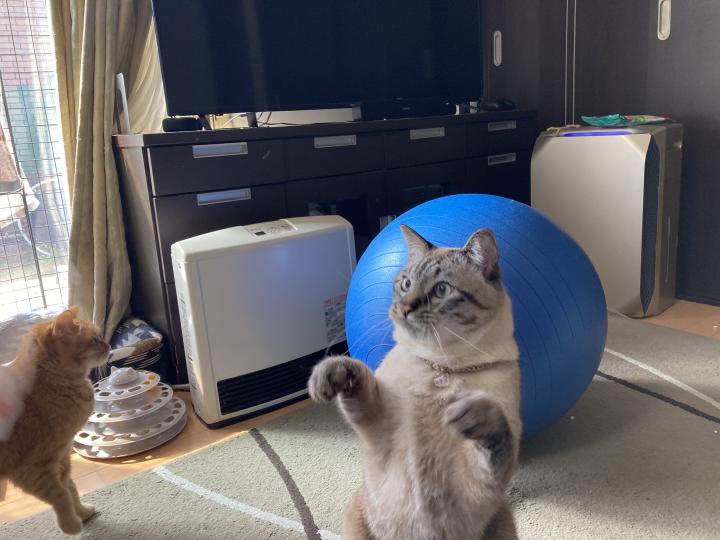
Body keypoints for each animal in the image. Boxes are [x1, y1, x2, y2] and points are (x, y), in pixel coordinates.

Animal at [0, 306, 110, 534]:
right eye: (95, 339)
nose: (109, 345)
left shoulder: (62, 458)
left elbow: (71, 488)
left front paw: (82, 512)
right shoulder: (32, 470)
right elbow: (60, 495)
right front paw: (71, 525)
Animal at [309, 225, 521, 540]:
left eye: (442, 290)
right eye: (406, 283)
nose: (405, 307)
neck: (442, 366)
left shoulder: (479, 481)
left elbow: (497, 431)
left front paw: (468, 412)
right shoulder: (378, 426)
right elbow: (359, 383)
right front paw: (331, 375)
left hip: (502, 522)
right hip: (357, 519)